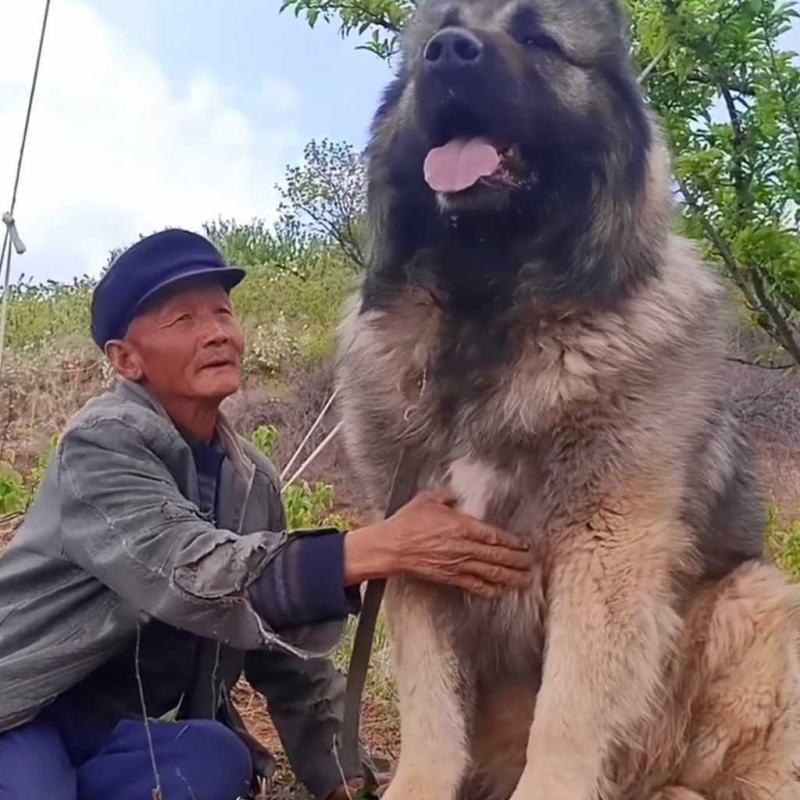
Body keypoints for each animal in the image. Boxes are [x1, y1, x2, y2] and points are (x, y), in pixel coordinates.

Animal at [332, 1, 800, 800]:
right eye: (439, 29)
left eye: (535, 38)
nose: (446, 53)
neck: (489, 308)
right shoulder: (419, 546)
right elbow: (432, 719)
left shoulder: (607, 548)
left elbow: (569, 714)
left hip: (757, 599)